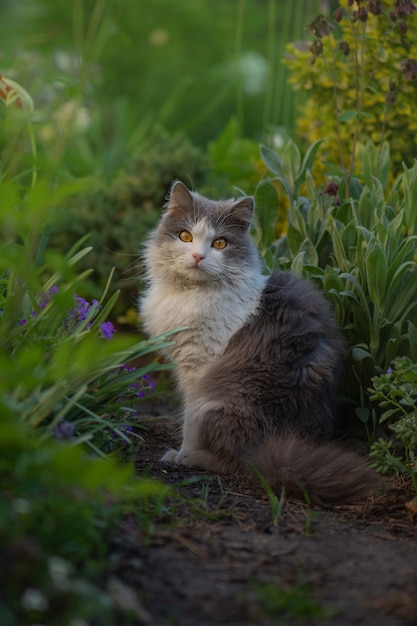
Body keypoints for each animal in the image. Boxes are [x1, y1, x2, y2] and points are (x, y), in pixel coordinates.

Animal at [138, 179, 378, 502]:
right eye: (185, 236)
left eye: (220, 243)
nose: (198, 257)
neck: (192, 294)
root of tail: (276, 446)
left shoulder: (200, 367)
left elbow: (188, 422)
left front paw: (180, 454)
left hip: (216, 402)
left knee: (228, 460)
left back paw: (192, 458)